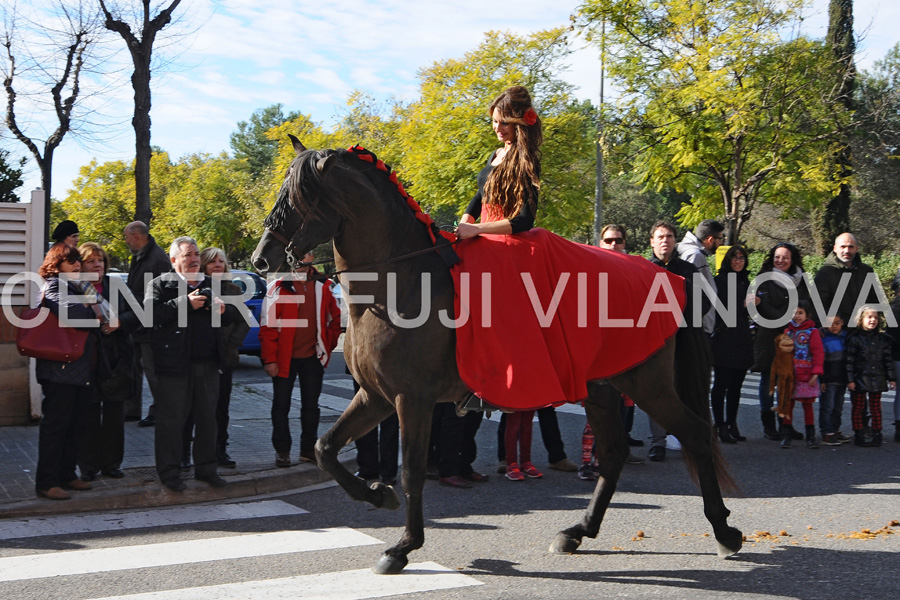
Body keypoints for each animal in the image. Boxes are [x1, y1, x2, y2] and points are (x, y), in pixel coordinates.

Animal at [250, 137, 740, 576]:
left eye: (301, 196)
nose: (261, 258)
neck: (398, 282)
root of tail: (667, 275)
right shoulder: (376, 396)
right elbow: (325, 448)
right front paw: (376, 493)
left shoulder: (412, 399)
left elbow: (410, 471)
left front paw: (403, 546)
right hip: (601, 387)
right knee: (615, 451)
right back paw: (578, 532)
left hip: (646, 383)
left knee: (695, 434)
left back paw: (723, 532)